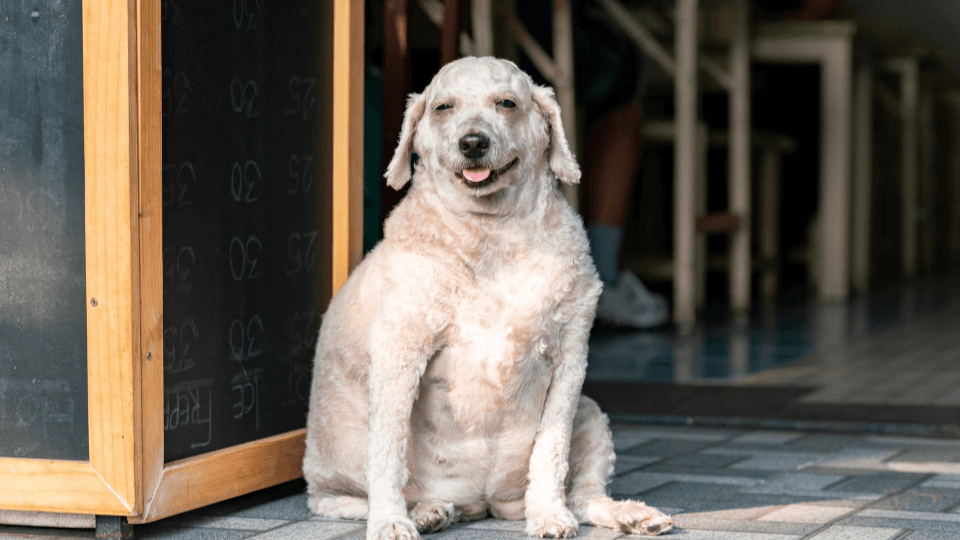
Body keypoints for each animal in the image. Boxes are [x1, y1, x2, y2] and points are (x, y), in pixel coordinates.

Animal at [304, 57, 672, 536]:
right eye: (442, 107)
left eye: (507, 103)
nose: (473, 142)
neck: (491, 234)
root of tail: (486, 504)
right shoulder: (398, 352)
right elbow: (386, 451)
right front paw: (390, 523)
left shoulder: (570, 357)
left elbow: (551, 450)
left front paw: (548, 513)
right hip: (332, 472)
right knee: (348, 496)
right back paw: (426, 511)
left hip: (591, 415)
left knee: (584, 495)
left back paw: (627, 513)